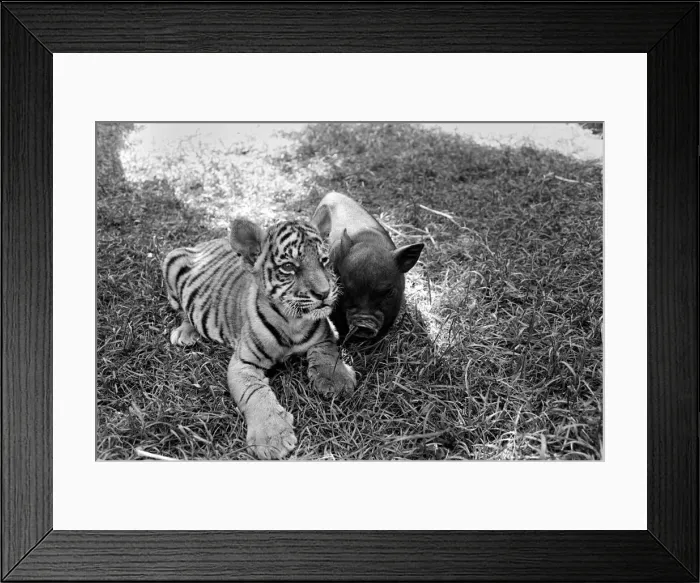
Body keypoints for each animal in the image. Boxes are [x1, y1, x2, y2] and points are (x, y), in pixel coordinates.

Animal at [162, 217, 357, 459]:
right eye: (289, 267)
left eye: (324, 260)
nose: (324, 293)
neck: (293, 321)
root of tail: (207, 242)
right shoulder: (243, 363)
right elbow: (255, 393)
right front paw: (272, 438)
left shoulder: (323, 339)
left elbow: (329, 353)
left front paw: (338, 380)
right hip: (171, 264)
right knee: (182, 309)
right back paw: (186, 332)